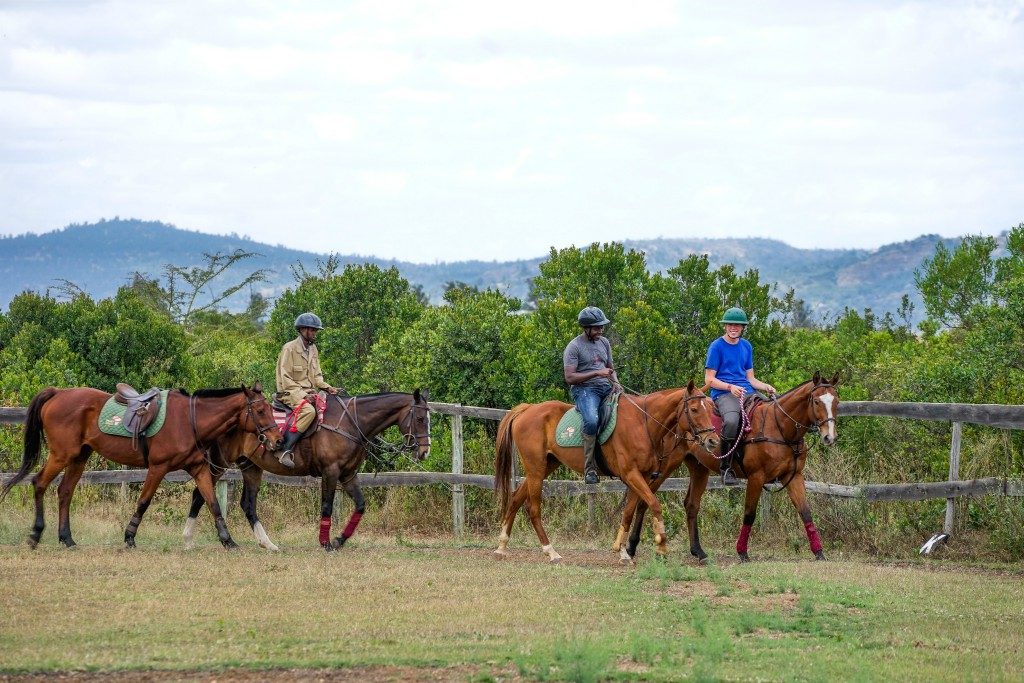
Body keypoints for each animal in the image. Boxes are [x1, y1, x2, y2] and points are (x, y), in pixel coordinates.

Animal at [0, 385, 282, 548]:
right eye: (259, 411)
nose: (278, 440)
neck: (190, 420)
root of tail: (58, 393)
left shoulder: (199, 469)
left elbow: (211, 503)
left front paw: (228, 540)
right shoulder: (158, 468)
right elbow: (144, 502)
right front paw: (129, 536)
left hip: (79, 457)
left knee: (65, 492)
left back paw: (67, 539)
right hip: (61, 455)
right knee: (39, 483)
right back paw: (35, 535)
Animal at [182, 389, 430, 548]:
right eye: (419, 418)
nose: (425, 451)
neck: (350, 422)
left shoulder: (348, 475)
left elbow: (360, 505)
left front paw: (339, 540)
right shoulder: (331, 472)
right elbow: (327, 506)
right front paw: (325, 542)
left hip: (251, 466)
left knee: (247, 505)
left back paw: (266, 543)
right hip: (219, 464)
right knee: (200, 495)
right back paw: (192, 539)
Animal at [491, 382, 716, 565]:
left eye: (711, 408)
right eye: (694, 409)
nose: (712, 440)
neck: (643, 423)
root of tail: (527, 409)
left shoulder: (639, 477)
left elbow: (628, 512)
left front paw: (622, 551)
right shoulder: (631, 474)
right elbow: (654, 504)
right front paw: (661, 546)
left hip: (545, 466)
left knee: (515, 499)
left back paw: (502, 547)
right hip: (536, 469)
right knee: (533, 508)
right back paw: (551, 552)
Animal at [614, 370, 839, 565]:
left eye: (836, 401)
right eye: (816, 401)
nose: (829, 437)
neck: (779, 427)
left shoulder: (794, 477)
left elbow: (805, 512)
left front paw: (819, 551)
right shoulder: (756, 477)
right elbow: (749, 514)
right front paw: (742, 552)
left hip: (699, 468)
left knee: (691, 505)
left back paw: (698, 552)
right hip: (665, 467)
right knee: (644, 500)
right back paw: (632, 547)